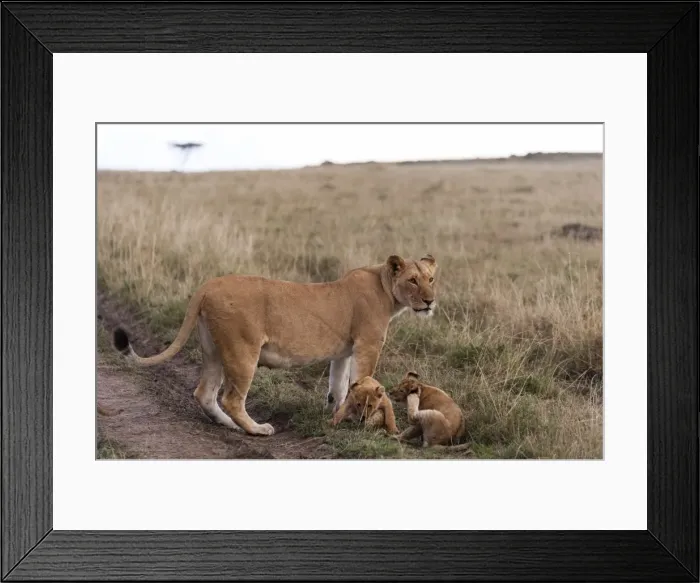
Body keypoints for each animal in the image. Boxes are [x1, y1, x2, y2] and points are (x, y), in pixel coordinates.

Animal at [112, 253, 438, 436]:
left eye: (431, 279)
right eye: (412, 280)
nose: (430, 301)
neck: (386, 288)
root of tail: (207, 285)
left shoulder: (344, 352)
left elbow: (339, 387)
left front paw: (335, 412)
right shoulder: (368, 345)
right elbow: (364, 382)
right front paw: (363, 419)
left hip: (213, 350)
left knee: (204, 393)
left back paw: (230, 425)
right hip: (243, 350)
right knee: (231, 398)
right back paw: (257, 429)